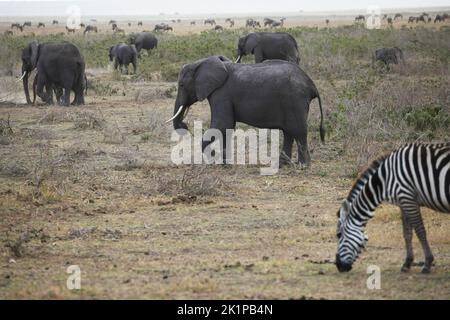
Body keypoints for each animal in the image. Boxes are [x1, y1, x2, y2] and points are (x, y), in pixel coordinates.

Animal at [167, 56, 326, 166]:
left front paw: (214, 159)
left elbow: (221, 125)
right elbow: (227, 128)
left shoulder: (222, 93)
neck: (202, 62)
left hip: (295, 101)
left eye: (182, 85)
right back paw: (283, 164)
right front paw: (224, 164)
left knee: (299, 132)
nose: (185, 125)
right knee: (288, 133)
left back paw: (303, 166)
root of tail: (311, 84)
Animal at [336, 144, 450, 274]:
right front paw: (407, 263)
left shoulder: (408, 198)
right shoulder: (403, 202)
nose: (338, 266)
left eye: (339, 235)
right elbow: (407, 233)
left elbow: (420, 231)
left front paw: (427, 263)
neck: (385, 179)